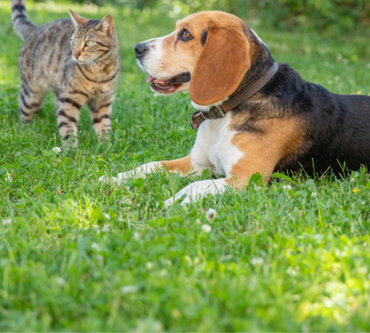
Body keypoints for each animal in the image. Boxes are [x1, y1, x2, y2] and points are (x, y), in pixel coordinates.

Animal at [10, 0, 120, 147]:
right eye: (73, 42)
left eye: (89, 43)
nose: (75, 55)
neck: (99, 71)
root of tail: (34, 29)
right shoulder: (69, 99)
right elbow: (68, 126)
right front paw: (71, 149)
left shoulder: (102, 102)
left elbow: (104, 125)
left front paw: (105, 146)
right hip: (32, 93)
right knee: (24, 108)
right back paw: (26, 130)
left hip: (58, 90)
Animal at [102, 11, 370, 205]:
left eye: (185, 35)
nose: (137, 48)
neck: (226, 113)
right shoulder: (197, 164)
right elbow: (149, 165)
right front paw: (112, 178)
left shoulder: (244, 179)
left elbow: (194, 186)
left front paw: (172, 202)